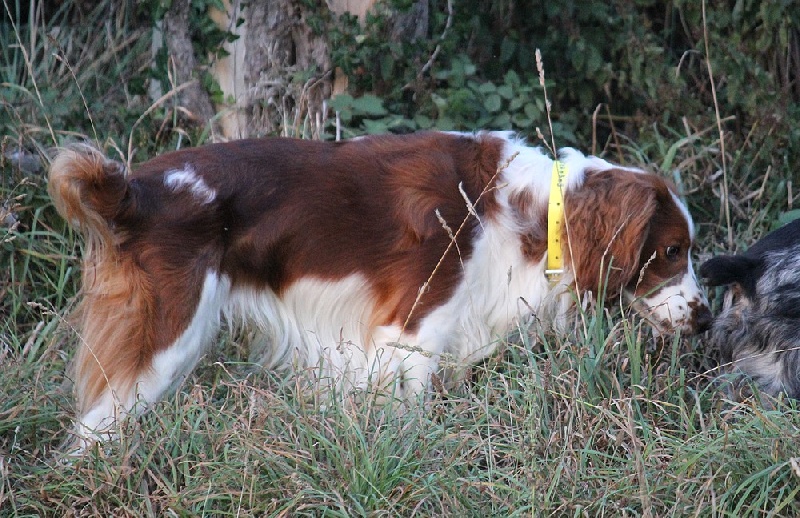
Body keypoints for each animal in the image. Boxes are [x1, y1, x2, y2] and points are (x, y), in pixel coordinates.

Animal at [49, 131, 711, 443]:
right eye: (672, 252)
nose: (706, 319)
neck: (525, 211)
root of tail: (136, 191)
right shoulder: (410, 335)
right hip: (167, 339)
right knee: (90, 431)